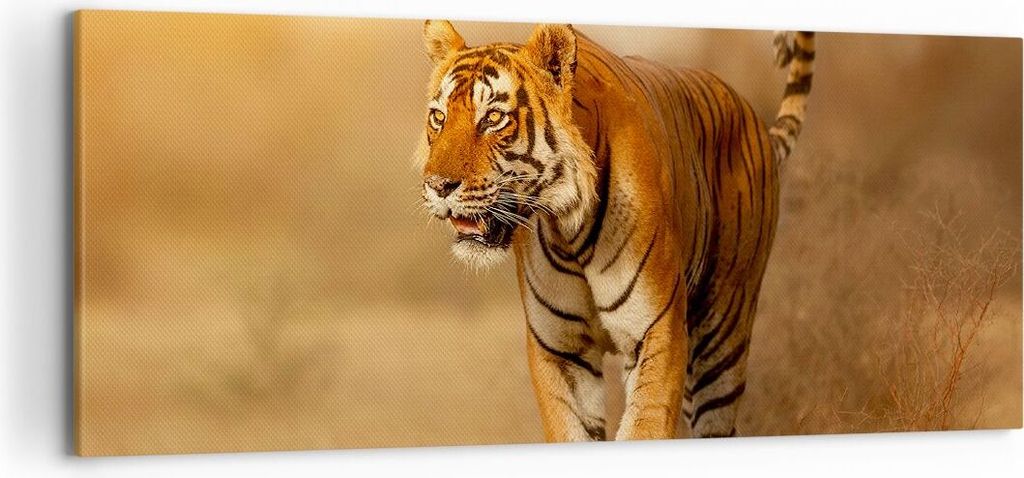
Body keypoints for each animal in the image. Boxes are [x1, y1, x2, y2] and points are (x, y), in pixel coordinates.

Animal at [414, 20, 814, 440]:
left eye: (493, 117)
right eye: (439, 117)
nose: (438, 185)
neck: (568, 229)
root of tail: (754, 119)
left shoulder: (657, 332)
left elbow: (645, 426)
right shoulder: (560, 351)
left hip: (722, 336)